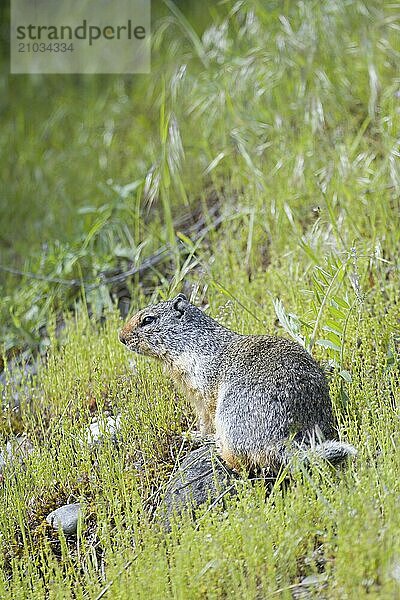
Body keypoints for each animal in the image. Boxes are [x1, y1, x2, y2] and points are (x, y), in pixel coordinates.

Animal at [119, 296, 356, 474]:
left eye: (148, 320)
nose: (121, 337)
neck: (191, 344)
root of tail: (282, 438)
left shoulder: (203, 389)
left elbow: (206, 419)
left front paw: (194, 435)